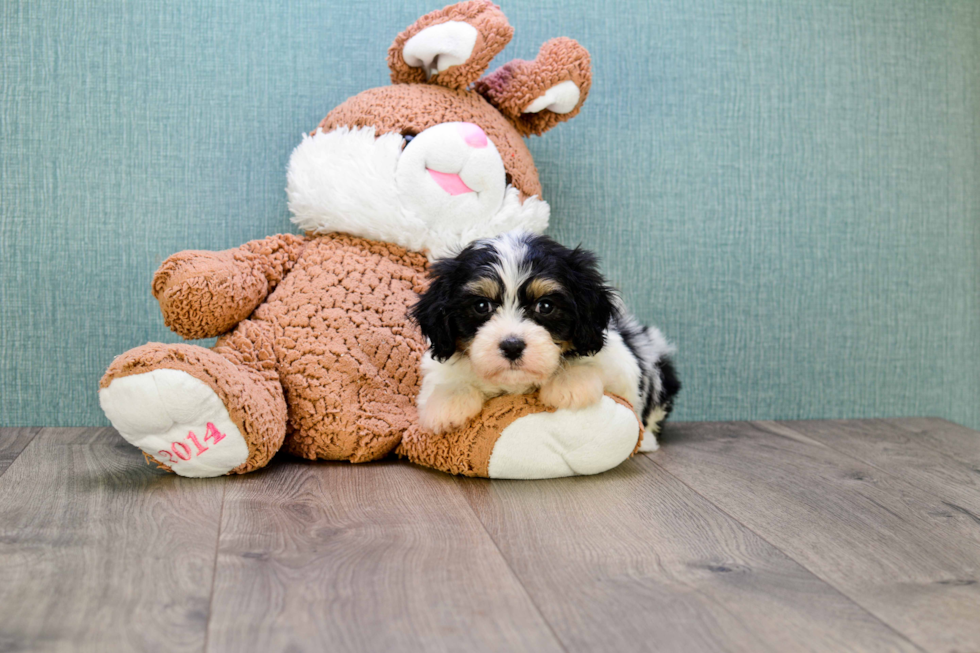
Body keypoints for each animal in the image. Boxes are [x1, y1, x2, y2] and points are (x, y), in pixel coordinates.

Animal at [410, 228, 676, 448]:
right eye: (481, 305)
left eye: (545, 306)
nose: (512, 346)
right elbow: (447, 378)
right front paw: (448, 404)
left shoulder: (621, 365)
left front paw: (570, 382)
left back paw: (648, 442)